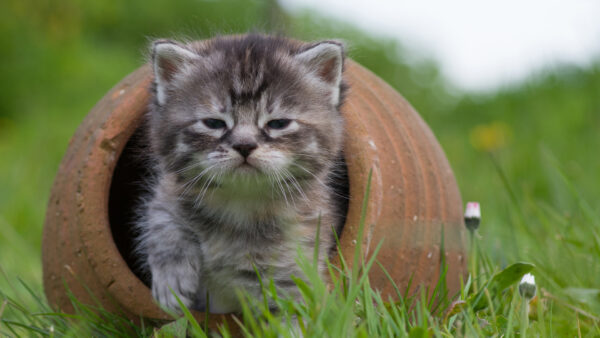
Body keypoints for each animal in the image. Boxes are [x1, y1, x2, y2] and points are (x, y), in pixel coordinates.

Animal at [137, 34, 346, 314]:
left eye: (278, 123)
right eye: (213, 123)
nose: (245, 145)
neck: (241, 203)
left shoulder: (294, 271)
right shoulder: (169, 190)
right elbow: (162, 220)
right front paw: (172, 281)